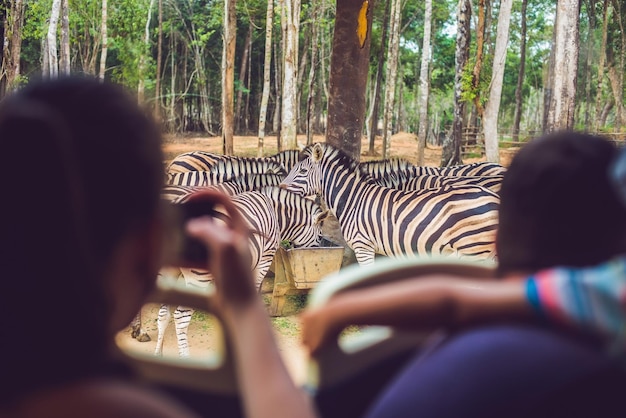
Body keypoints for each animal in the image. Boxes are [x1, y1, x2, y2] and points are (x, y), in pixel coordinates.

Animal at [152, 188, 326, 358]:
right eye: (319, 236)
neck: (276, 215)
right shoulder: (264, 260)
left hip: (167, 271)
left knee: (163, 314)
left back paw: (158, 353)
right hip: (197, 276)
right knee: (180, 317)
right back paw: (185, 357)